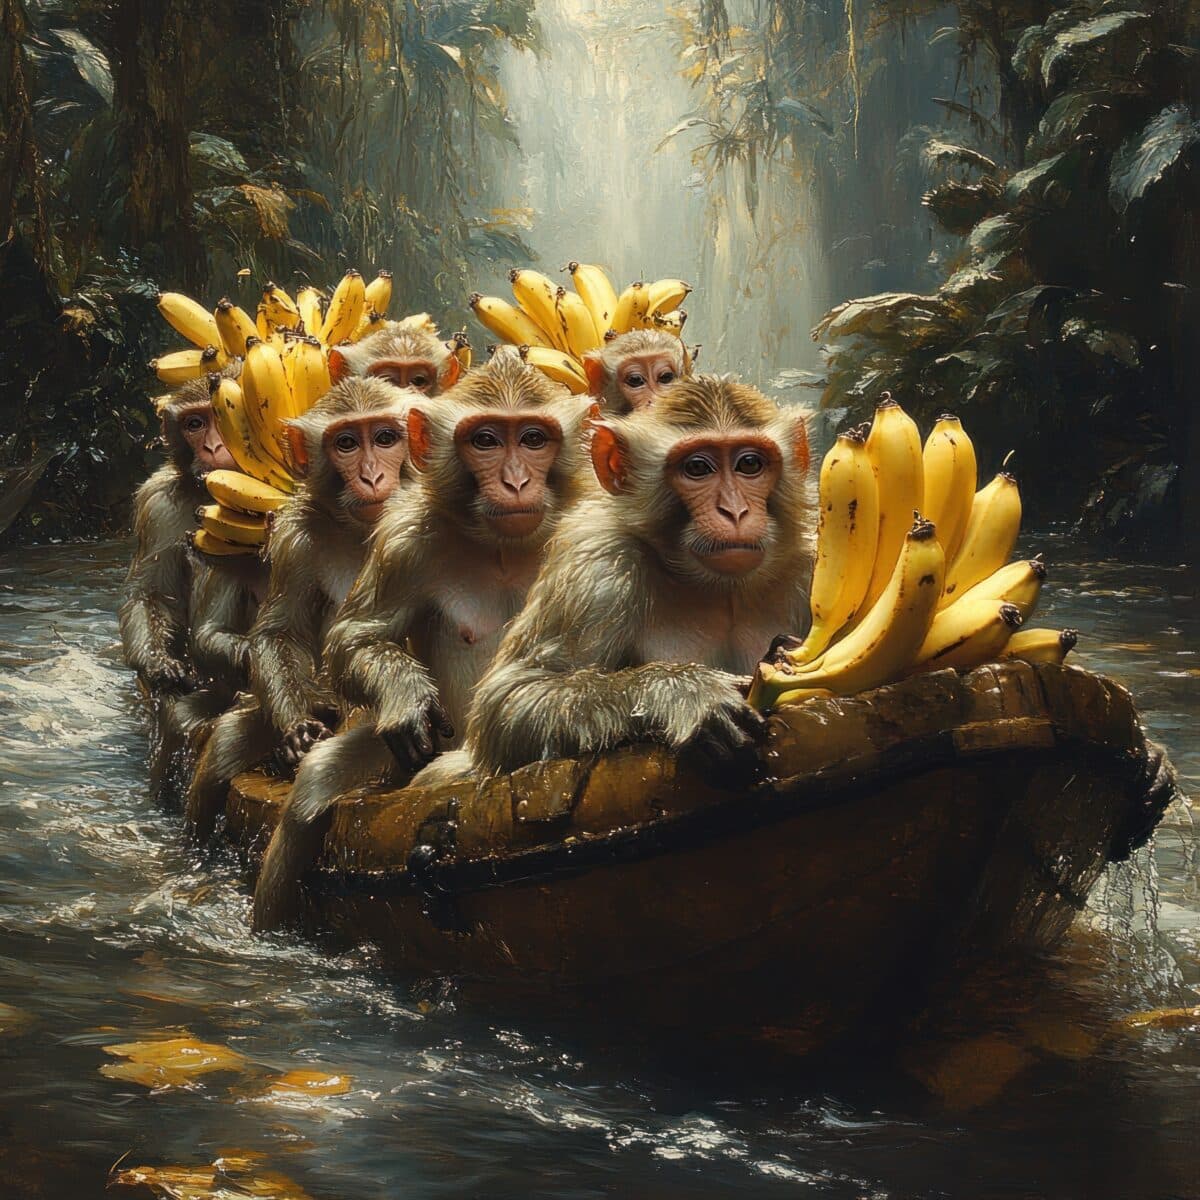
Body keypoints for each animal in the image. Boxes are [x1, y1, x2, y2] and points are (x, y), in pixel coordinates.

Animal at [183, 375, 414, 842]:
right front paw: (298, 728)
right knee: (225, 748)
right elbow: (280, 631)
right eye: (346, 443)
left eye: (385, 438)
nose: (372, 476)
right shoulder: (297, 533)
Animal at [250, 353, 594, 932]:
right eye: (485, 440)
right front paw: (404, 698)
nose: (516, 481)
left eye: (532, 438)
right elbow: (350, 638)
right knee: (313, 795)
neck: (505, 546)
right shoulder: (402, 536)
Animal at [462, 374, 815, 780]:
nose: (735, 511)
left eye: (750, 464)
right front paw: (685, 692)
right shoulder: (599, 564)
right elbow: (510, 697)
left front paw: (777, 655)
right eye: (698, 468)